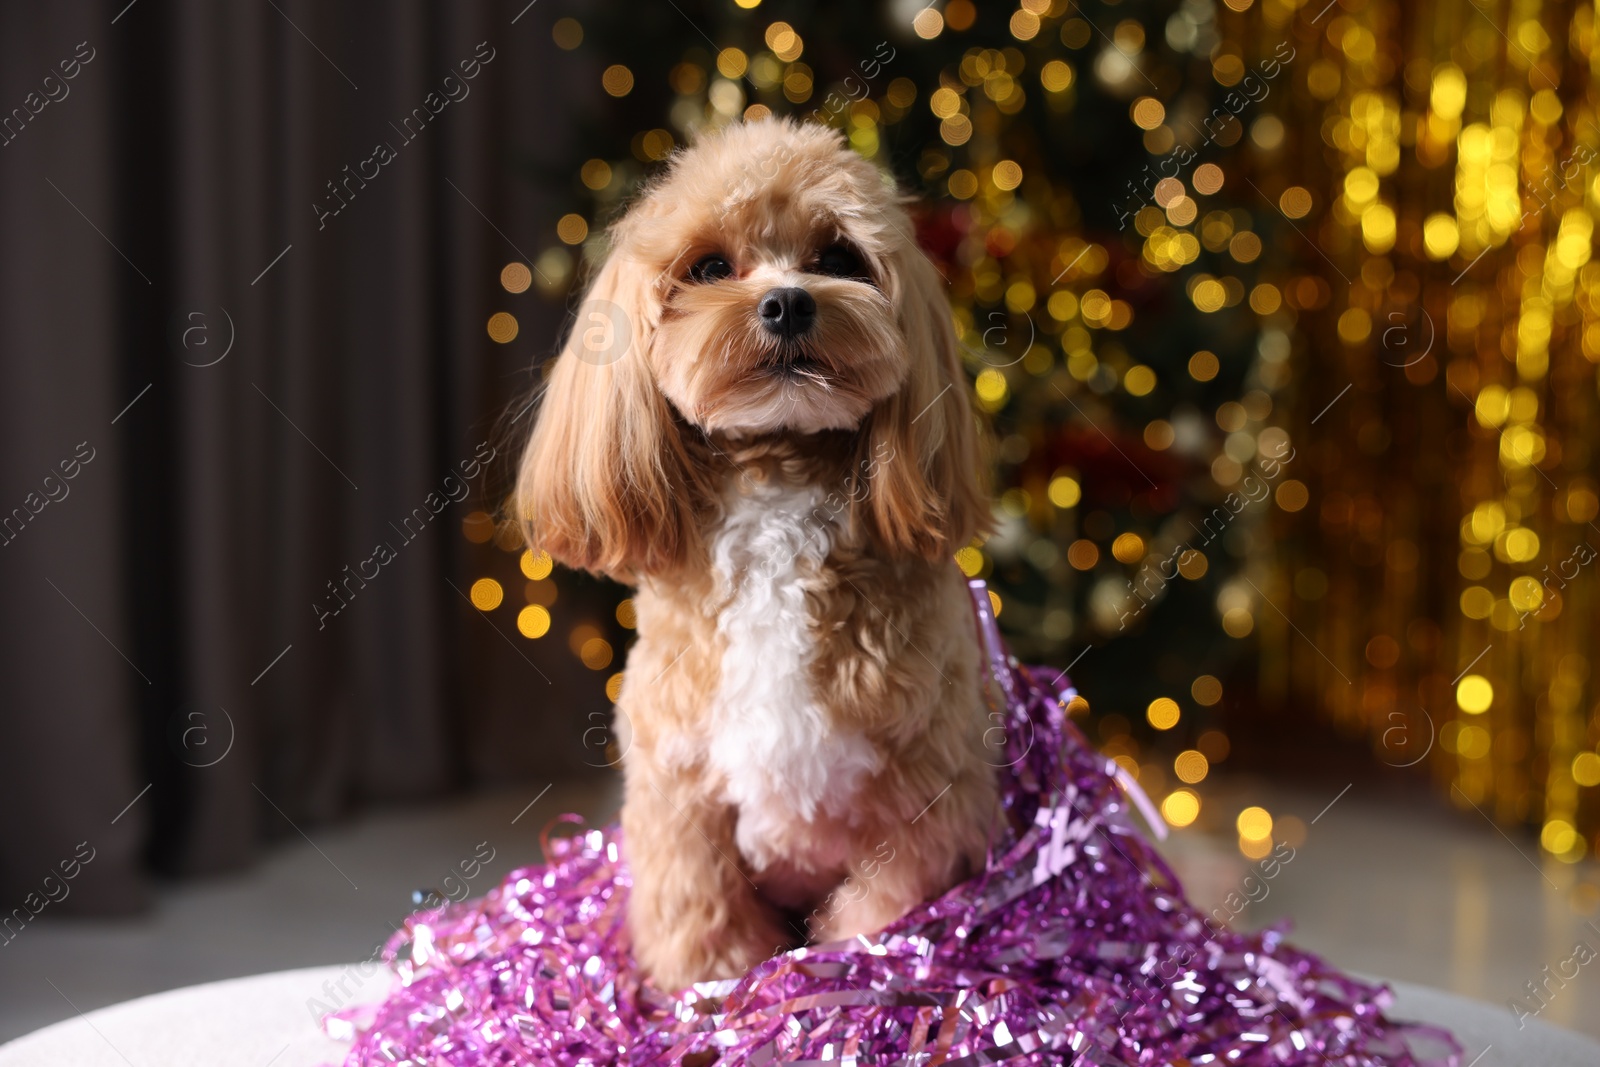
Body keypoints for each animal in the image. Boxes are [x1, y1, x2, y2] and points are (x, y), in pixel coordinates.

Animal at [518, 116, 998, 991]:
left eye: (838, 258)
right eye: (709, 267)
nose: (788, 301)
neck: (778, 487)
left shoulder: (925, 801)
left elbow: (884, 919)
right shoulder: (680, 804)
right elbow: (704, 927)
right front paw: (711, 997)